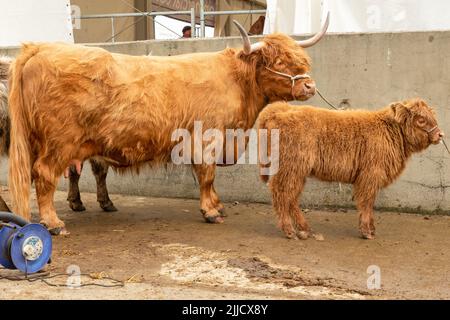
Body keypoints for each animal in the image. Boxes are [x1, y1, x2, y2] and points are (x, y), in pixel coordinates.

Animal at [258, 99, 444, 239]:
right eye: (421, 119)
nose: (440, 135)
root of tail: (279, 109)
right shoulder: (370, 175)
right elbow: (367, 202)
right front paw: (367, 232)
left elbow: (369, 203)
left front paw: (371, 229)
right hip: (291, 167)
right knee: (281, 192)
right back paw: (289, 230)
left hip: (298, 172)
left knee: (292, 197)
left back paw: (305, 229)